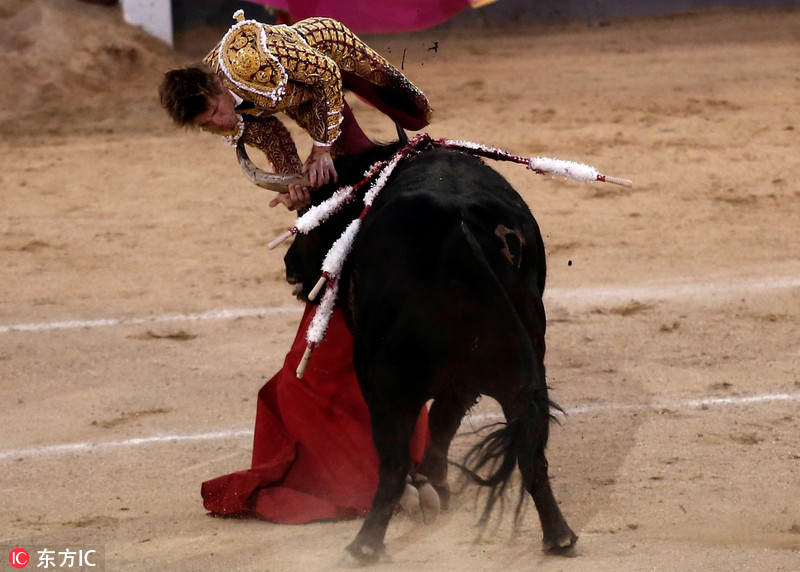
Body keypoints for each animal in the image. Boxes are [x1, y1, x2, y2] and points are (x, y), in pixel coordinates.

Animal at [282, 141, 576, 560]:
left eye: (315, 210)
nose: (291, 265)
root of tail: (460, 231)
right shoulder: (465, 380)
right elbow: (443, 422)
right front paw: (436, 485)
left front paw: (425, 489)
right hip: (524, 372)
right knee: (531, 447)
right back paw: (559, 536)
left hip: (388, 381)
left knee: (392, 460)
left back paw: (365, 546)